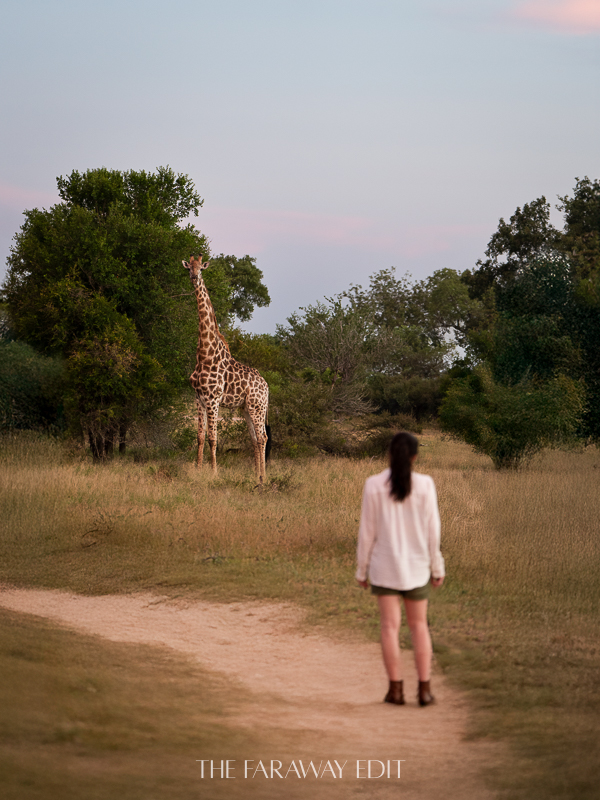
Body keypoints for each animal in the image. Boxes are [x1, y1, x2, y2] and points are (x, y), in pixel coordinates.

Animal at [183, 255, 269, 482]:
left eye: (201, 268)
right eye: (189, 268)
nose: (194, 277)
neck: (204, 353)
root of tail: (267, 387)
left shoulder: (213, 399)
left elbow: (213, 437)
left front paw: (214, 472)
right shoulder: (198, 398)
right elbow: (200, 436)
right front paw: (198, 470)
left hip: (258, 407)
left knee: (263, 436)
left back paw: (264, 477)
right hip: (247, 408)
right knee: (255, 438)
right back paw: (256, 475)